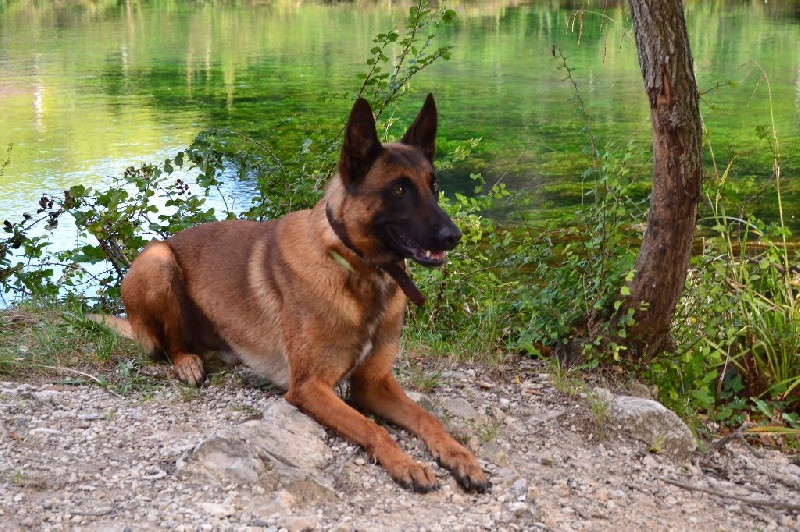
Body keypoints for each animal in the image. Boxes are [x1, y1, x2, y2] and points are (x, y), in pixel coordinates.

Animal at [98, 94, 487, 493]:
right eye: (398, 190)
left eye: (434, 187)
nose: (454, 236)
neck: (354, 269)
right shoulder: (309, 388)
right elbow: (373, 428)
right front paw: (406, 464)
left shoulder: (373, 384)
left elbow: (427, 418)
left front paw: (459, 456)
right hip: (159, 261)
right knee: (171, 345)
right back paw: (187, 363)